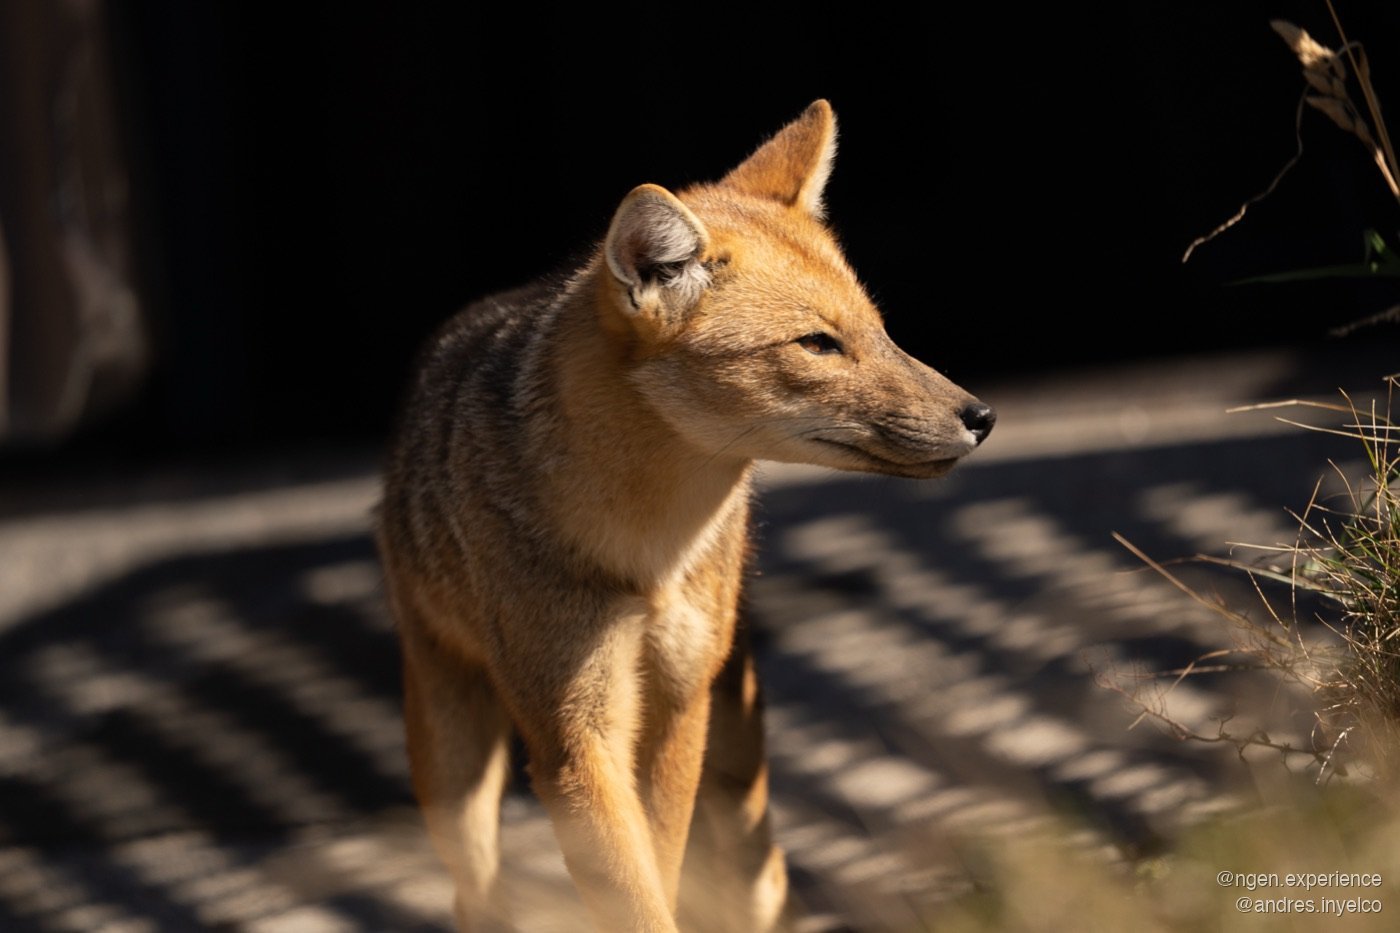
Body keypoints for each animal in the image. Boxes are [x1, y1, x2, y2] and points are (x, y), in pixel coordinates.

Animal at [376, 100, 995, 933]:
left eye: (880, 331)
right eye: (818, 343)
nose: (982, 416)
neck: (650, 551)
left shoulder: (676, 704)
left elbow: (661, 872)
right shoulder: (575, 733)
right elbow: (634, 893)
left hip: (737, 784)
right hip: (455, 778)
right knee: (475, 896)